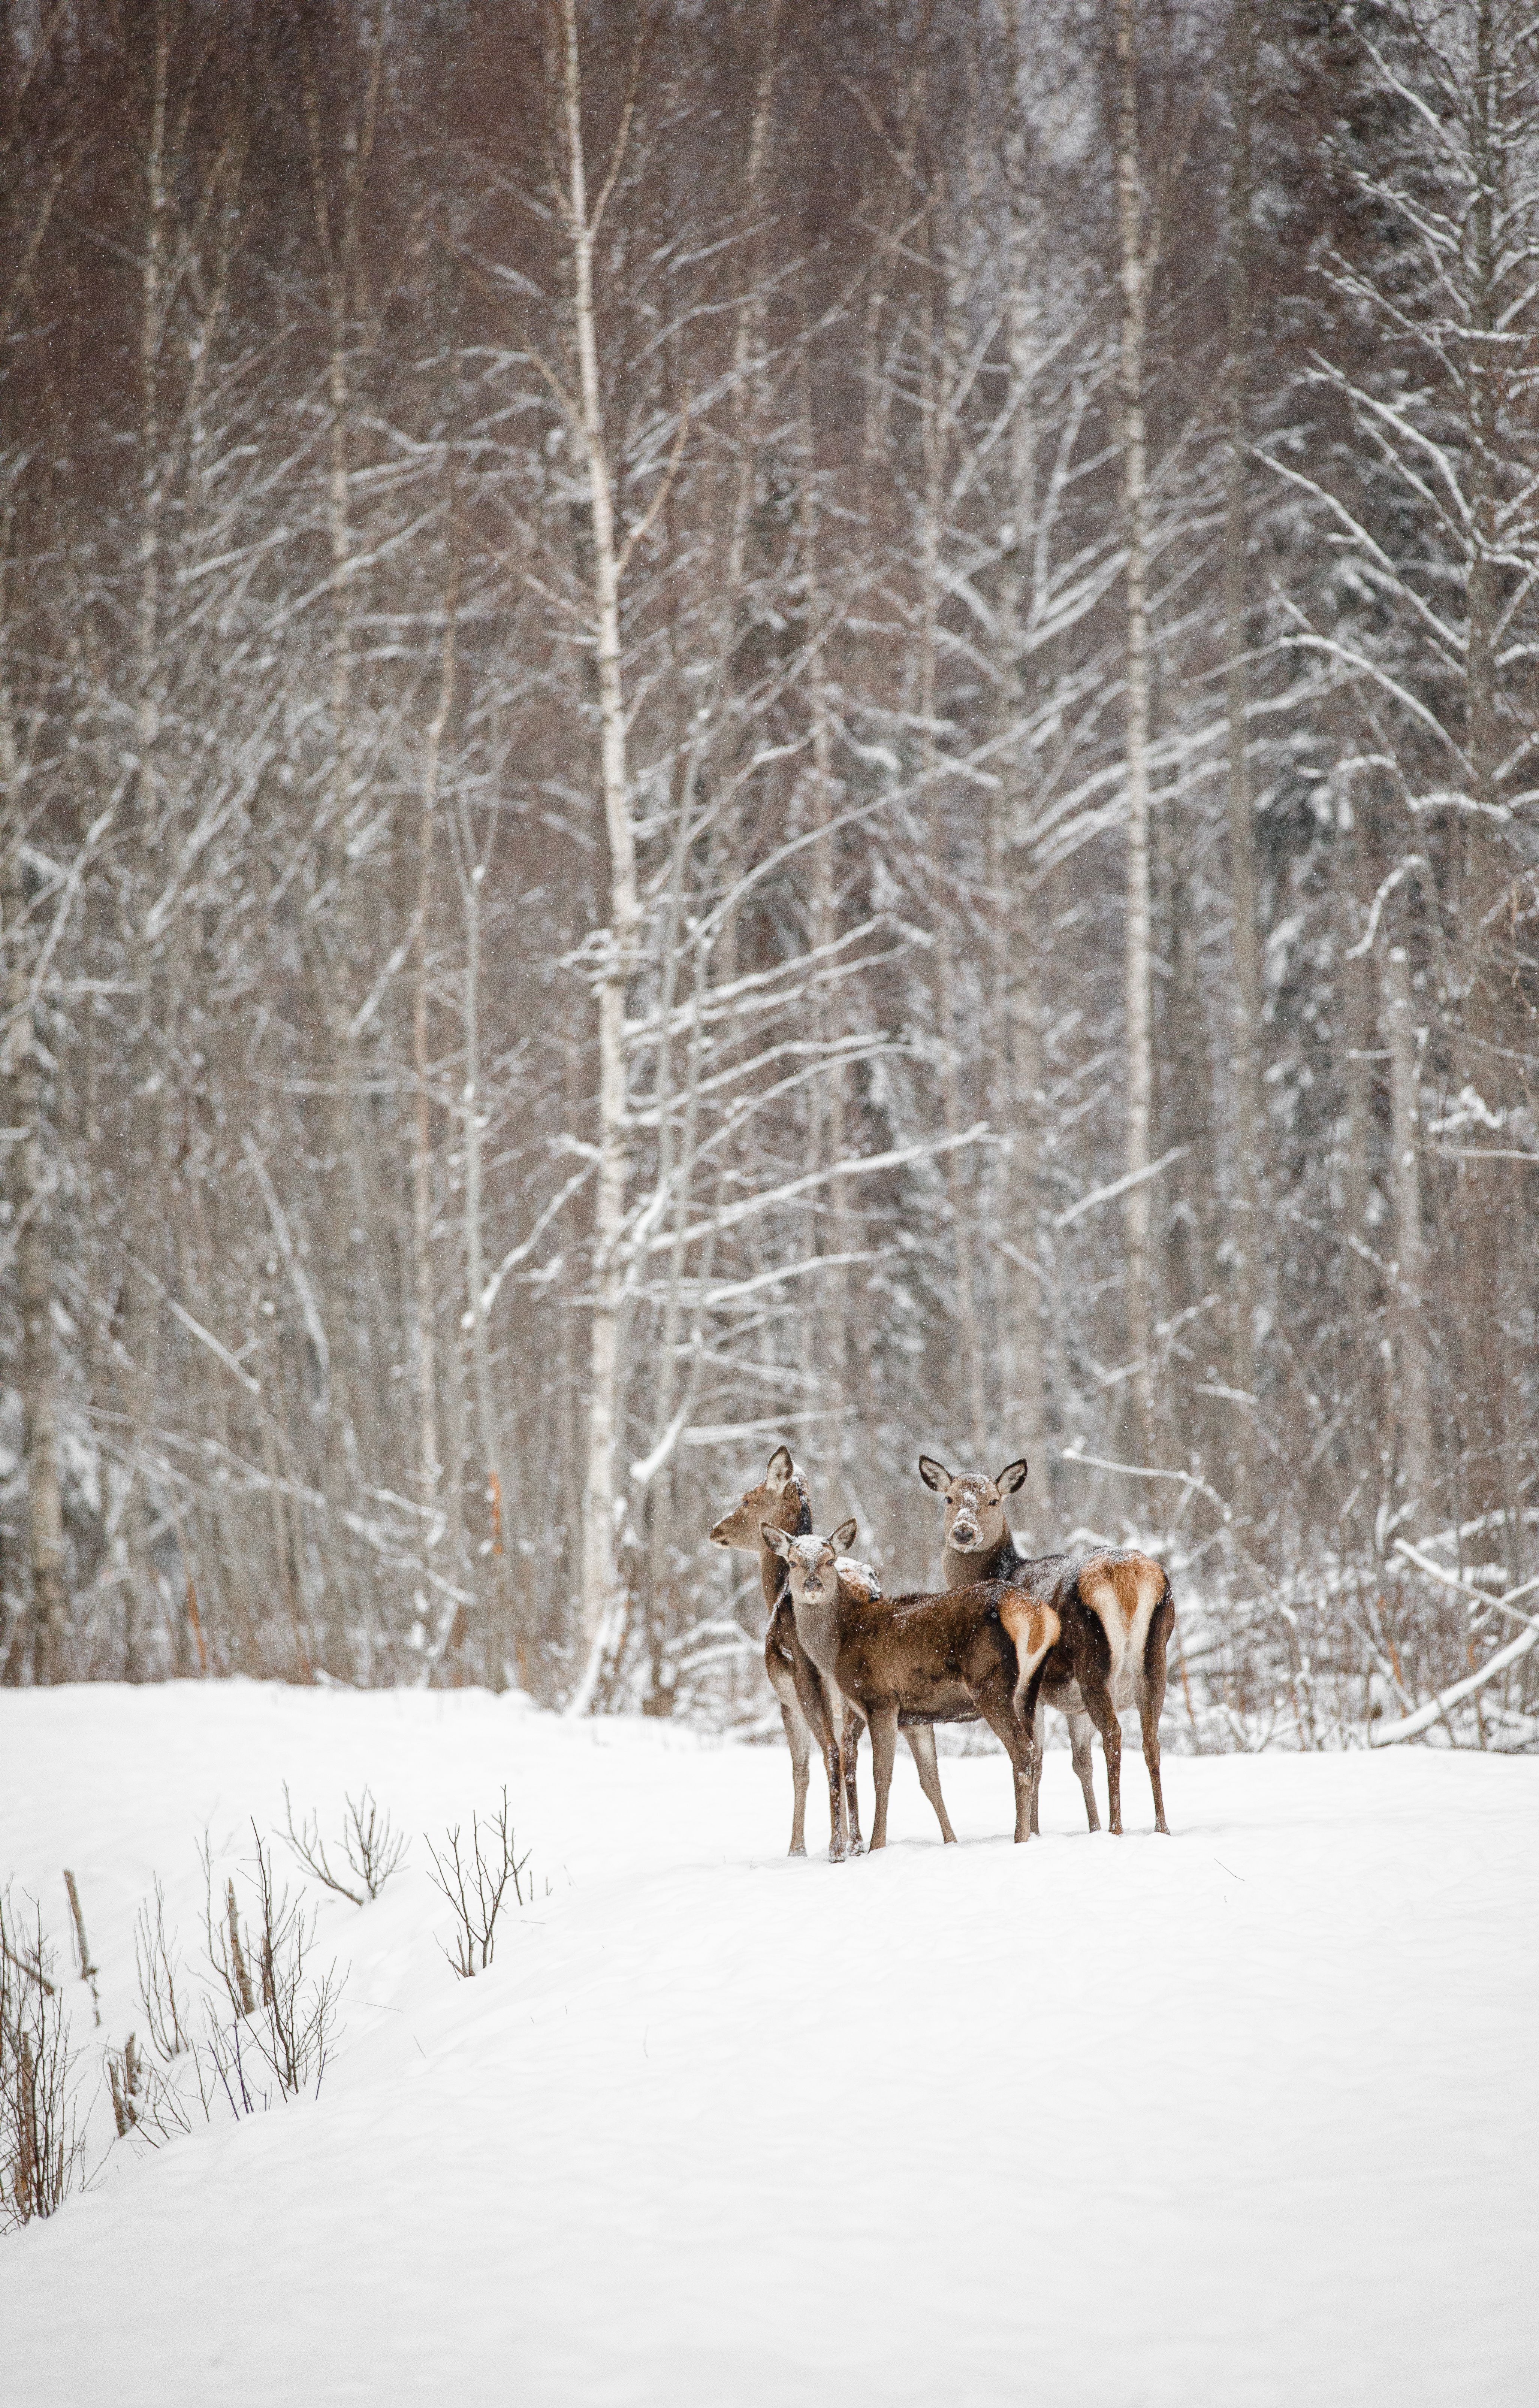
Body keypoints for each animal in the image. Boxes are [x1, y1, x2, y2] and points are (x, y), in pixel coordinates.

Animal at [708, 1447, 956, 1858]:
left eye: (746, 1499)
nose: (716, 1529)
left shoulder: (786, 1700)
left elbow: (800, 1769)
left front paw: (796, 1848)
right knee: (855, 1754)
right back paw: (855, 1842)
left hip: (809, 1680)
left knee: (832, 1753)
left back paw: (836, 1847)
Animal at [762, 1518, 1049, 1849]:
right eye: (793, 1562)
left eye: (830, 1561)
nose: (812, 1585)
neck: (840, 1644)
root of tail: (1037, 1616)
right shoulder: (914, 1717)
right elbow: (929, 1778)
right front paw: (950, 1841)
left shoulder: (880, 1700)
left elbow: (881, 1775)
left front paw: (876, 1846)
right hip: (1029, 1690)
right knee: (1036, 1753)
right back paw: (1032, 1833)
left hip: (990, 1684)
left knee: (1023, 1751)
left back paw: (1020, 1837)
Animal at [918, 1454, 1174, 1837]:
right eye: (949, 1498)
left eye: (993, 1500)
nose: (964, 1532)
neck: (1003, 1571)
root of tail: (1126, 1577)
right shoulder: (1073, 1706)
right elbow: (1080, 1762)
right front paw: (1091, 1827)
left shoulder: (1031, 1690)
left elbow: (1036, 1760)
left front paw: (1034, 1832)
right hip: (1155, 1659)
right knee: (1150, 1739)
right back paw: (1161, 1827)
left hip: (1093, 1662)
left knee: (1114, 1735)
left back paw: (1116, 1827)